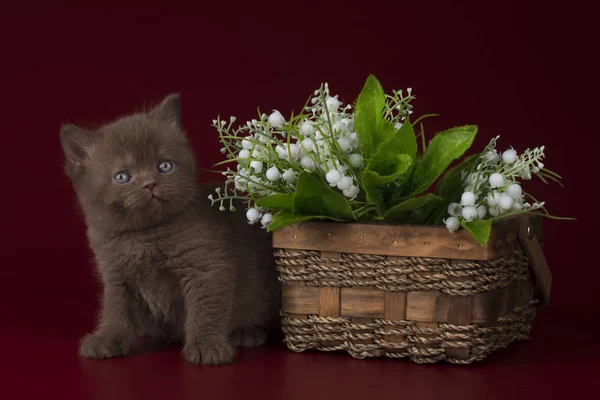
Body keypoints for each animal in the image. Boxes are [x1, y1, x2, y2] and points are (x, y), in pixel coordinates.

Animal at [59, 94, 280, 366]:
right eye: (122, 177)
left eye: (164, 166)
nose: (149, 184)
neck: (144, 234)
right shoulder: (116, 277)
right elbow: (115, 309)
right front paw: (107, 339)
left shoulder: (207, 267)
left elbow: (206, 308)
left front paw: (206, 347)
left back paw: (246, 332)